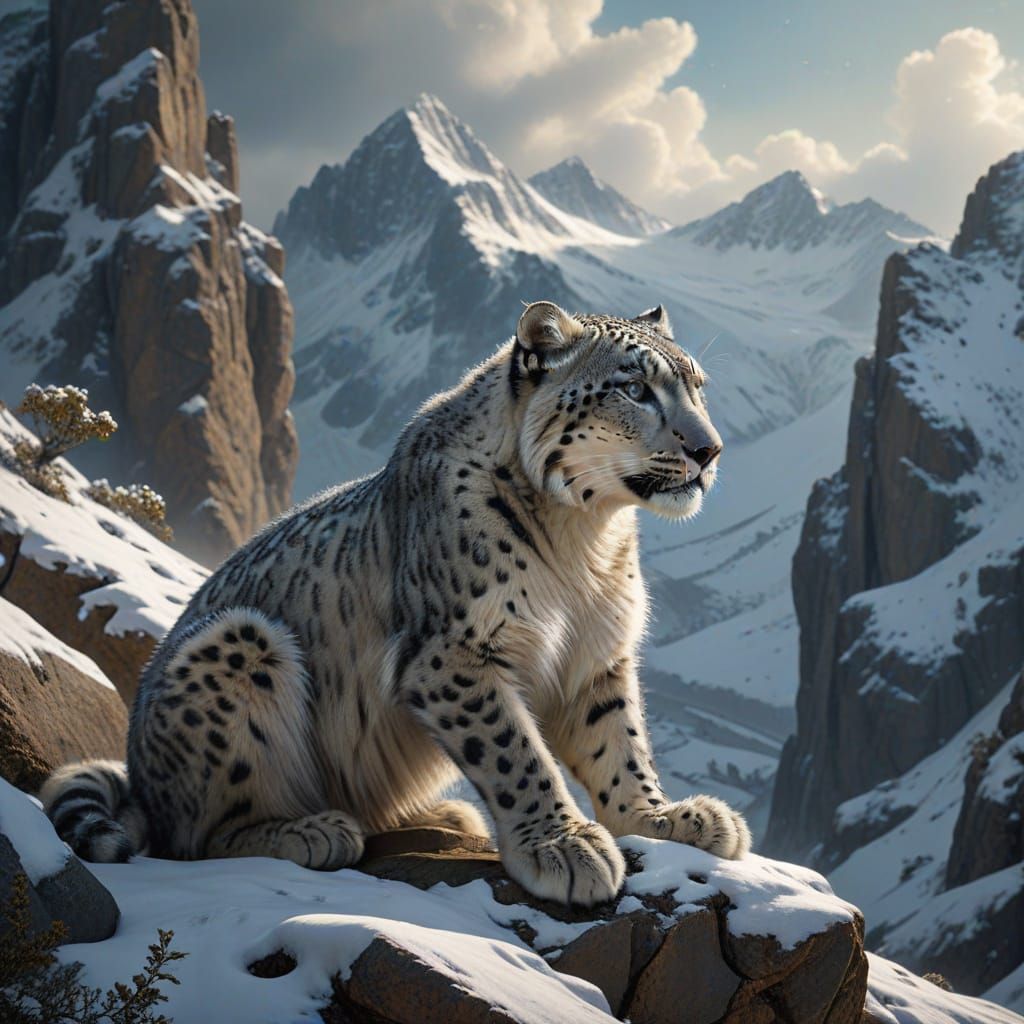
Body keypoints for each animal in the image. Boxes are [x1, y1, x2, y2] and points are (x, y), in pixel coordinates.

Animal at [41, 300, 750, 907]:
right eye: (634, 388)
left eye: (697, 385)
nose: (708, 449)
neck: (585, 539)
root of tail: (139, 773)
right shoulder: (455, 654)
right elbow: (515, 752)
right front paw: (565, 846)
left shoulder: (596, 655)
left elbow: (619, 744)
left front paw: (661, 817)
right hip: (240, 643)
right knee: (196, 836)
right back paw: (312, 830)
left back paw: (442, 814)